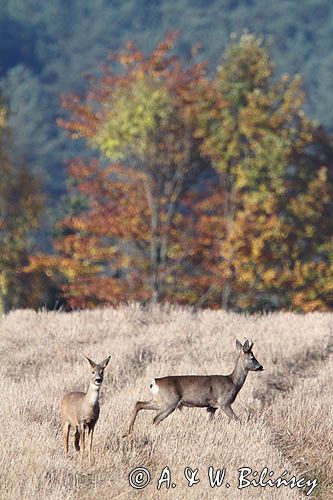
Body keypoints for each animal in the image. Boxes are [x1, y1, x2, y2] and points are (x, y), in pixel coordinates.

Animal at [122, 338, 262, 436]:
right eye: (252, 357)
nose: (261, 367)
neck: (233, 382)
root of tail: (154, 382)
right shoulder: (224, 402)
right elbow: (239, 420)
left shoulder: (211, 407)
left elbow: (210, 423)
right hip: (169, 403)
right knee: (155, 419)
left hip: (160, 401)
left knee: (138, 404)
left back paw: (128, 432)